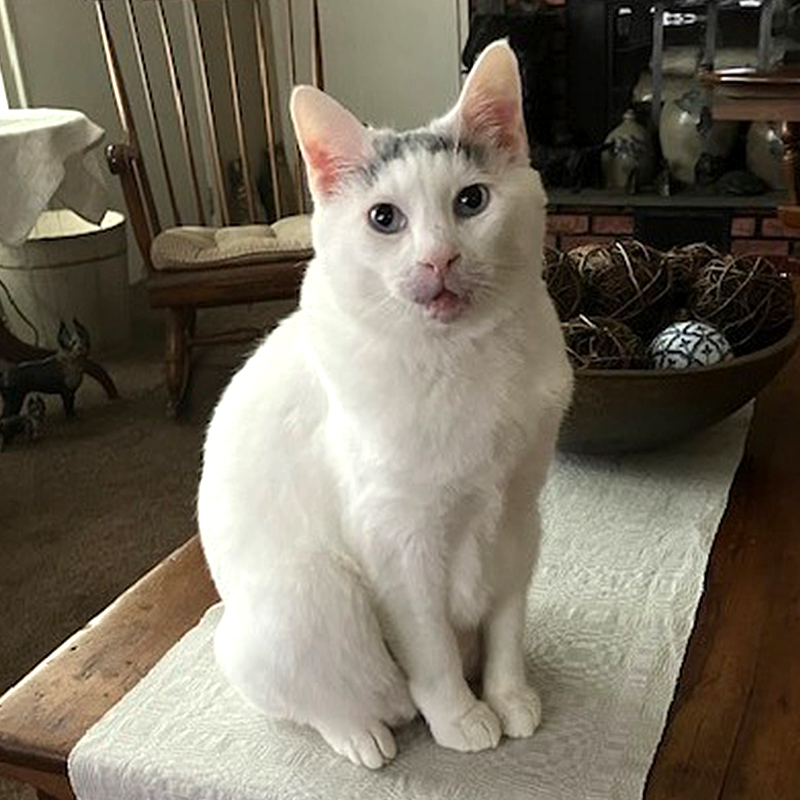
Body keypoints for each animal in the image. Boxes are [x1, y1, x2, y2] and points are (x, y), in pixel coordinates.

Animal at [200, 39, 576, 768]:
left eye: (471, 201)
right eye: (384, 219)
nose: (439, 260)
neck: (464, 360)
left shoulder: (520, 515)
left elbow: (507, 625)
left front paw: (509, 696)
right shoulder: (399, 544)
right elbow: (430, 649)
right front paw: (461, 718)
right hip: (314, 595)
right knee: (325, 699)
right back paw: (365, 734)